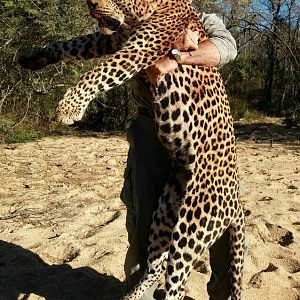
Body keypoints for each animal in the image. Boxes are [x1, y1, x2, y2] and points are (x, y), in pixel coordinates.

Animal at [19, 0, 246, 300]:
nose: (90, 3)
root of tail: (237, 200)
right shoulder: (113, 38)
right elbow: (71, 44)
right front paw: (33, 57)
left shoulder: (136, 50)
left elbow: (100, 71)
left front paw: (69, 108)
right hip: (165, 214)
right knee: (156, 265)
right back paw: (131, 295)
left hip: (193, 225)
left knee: (177, 282)